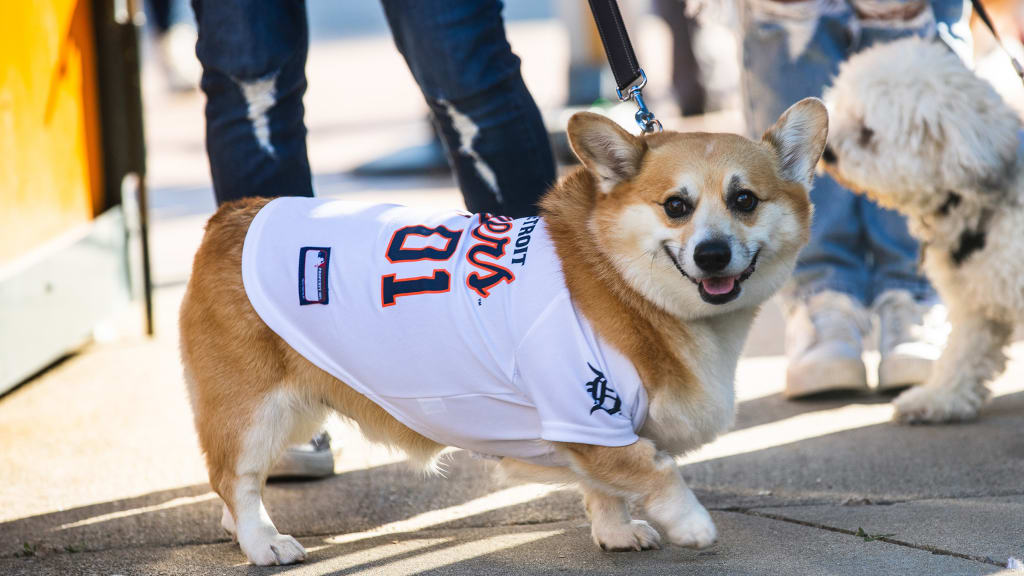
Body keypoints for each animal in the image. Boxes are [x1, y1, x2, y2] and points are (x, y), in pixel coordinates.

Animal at [180, 97, 827, 561]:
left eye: (745, 200)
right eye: (676, 206)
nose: (713, 255)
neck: (622, 281)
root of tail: (229, 216)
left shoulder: (597, 432)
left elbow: (605, 489)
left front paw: (617, 534)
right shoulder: (586, 414)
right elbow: (653, 469)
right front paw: (692, 523)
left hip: (297, 407)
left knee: (232, 482)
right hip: (255, 408)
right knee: (233, 477)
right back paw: (264, 543)